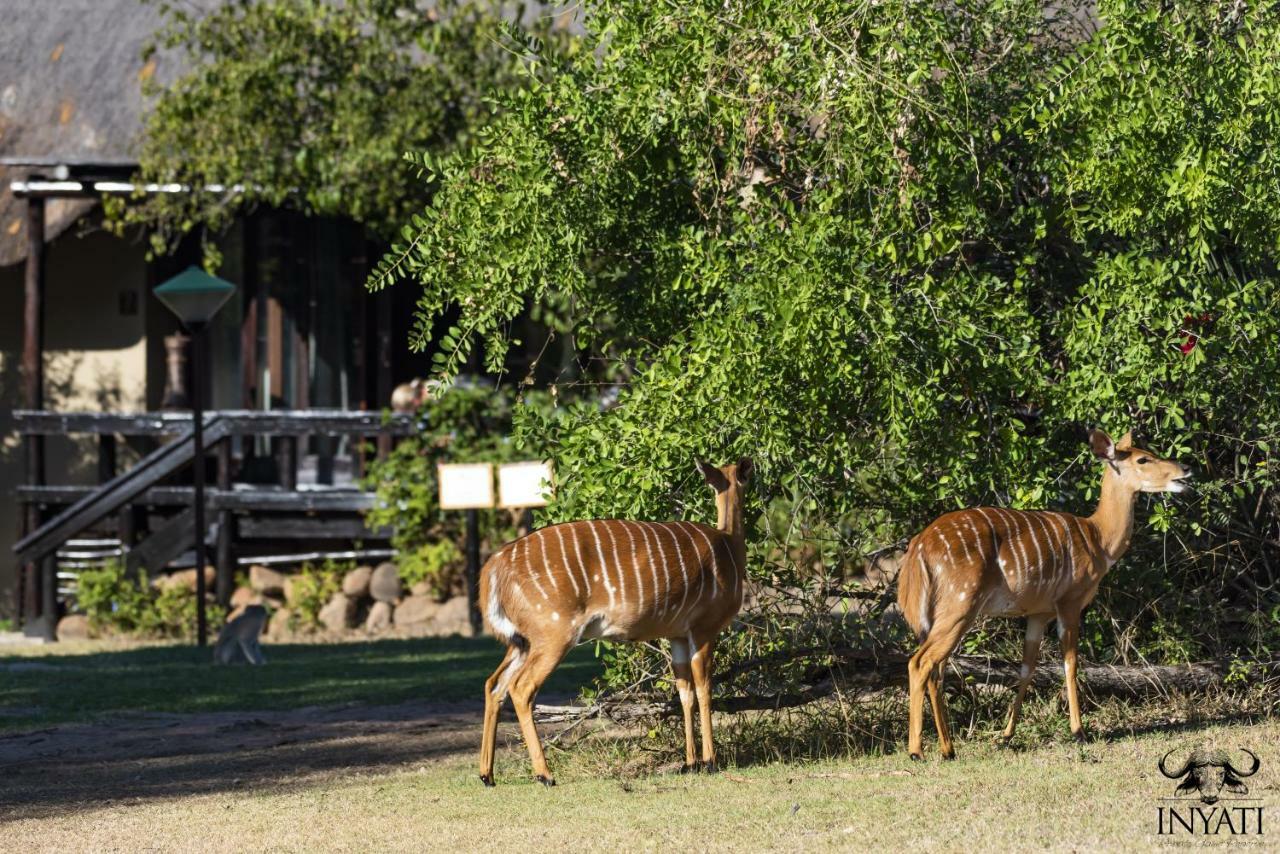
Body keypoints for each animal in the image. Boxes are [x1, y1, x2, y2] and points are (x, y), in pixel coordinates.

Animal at [478, 458, 747, 783]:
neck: (729, 546)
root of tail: (495, 566)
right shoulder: (703, 628)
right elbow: (705, 688)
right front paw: (709, 761)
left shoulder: (678, 635)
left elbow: (685, 692)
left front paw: (690, 763)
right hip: (554, 634)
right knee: (521, 688)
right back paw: (545, 775)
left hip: (522, 641)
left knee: (494, 684)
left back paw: (487, 775)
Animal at [901, 430, 1187, 757]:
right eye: (1143, 459)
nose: (1184, 471)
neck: (1099, 540)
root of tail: (918, 549)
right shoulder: (1069, 601)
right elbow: (1071, 663)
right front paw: (1079, 732)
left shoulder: (1038, 612)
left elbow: (1027, 668)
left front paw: (1006, 736)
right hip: (960, 605)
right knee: (920, 662)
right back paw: (917, 750)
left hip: (938, 615)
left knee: (936, 667)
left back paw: (948, 749)